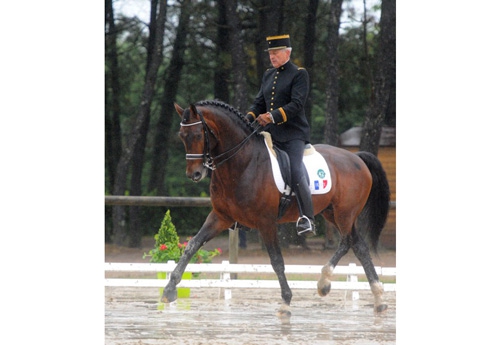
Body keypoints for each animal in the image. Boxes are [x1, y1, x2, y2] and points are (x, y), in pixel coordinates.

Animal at [164, 98, 390, 316]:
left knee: (350, 242)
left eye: (197, 134)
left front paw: (286, 302)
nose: (194, 174)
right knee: (356, 245)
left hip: (344, 213)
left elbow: (276, 261)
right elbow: (192, 245)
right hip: (331, 212)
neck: (242, 163)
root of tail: (356, 157)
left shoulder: (266, 223)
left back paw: (334, 285)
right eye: (182, 136)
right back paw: (371, 297)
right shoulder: (221, 217)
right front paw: (169, 289)